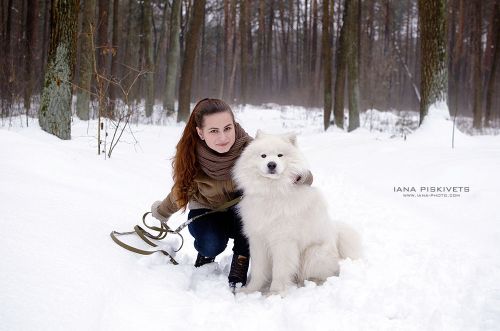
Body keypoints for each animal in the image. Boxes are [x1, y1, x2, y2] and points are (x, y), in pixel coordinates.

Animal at [232, 132, 362, 296]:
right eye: (263, 156)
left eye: (280, 155)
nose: (271, 164)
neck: (272, 192)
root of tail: (336, 234)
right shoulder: (258, 239)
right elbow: (258, 270)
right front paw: (250, 290)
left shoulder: (283, 241)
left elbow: (280, 271)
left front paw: (275, 293)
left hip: (313, 254)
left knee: (326, 273)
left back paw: (311, 282)